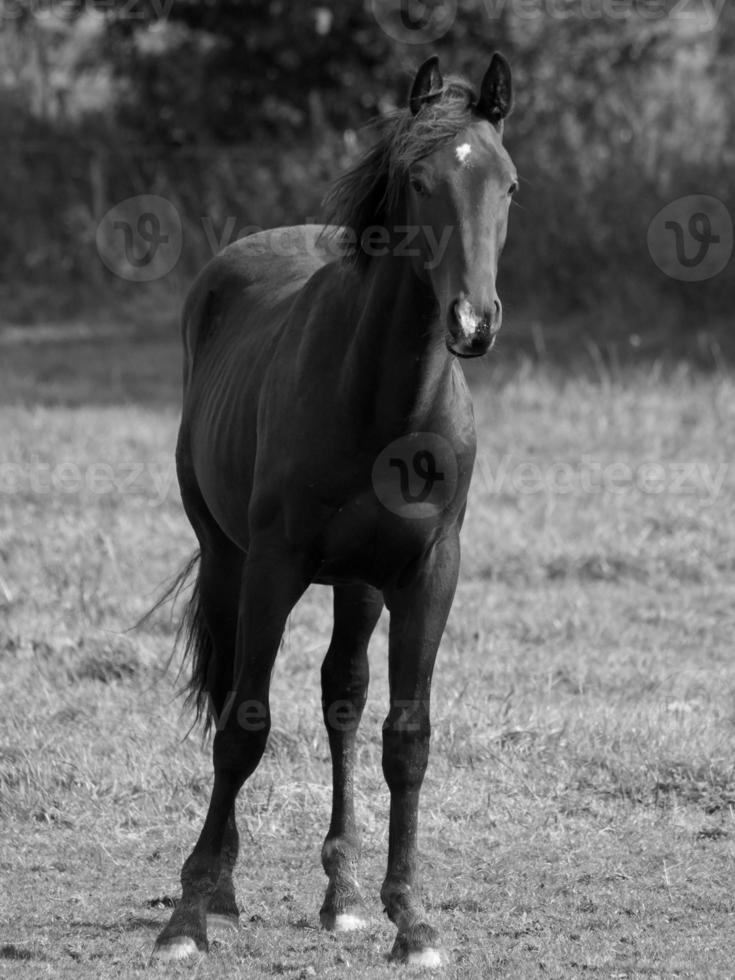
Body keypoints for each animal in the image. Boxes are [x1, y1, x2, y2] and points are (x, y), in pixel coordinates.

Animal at [152, 51, 516, 964]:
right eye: (419, 182)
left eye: (508, 185)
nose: (472, 321)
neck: (383, 402)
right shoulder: (272, 566)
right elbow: (243, 726)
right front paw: (187, 916)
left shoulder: (428, 573)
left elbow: (405, 737)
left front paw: (410, 918)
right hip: (228, 559)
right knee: (235, 694)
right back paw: (221, 886)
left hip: (356, 583)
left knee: (342, 699)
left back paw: (343, 891)